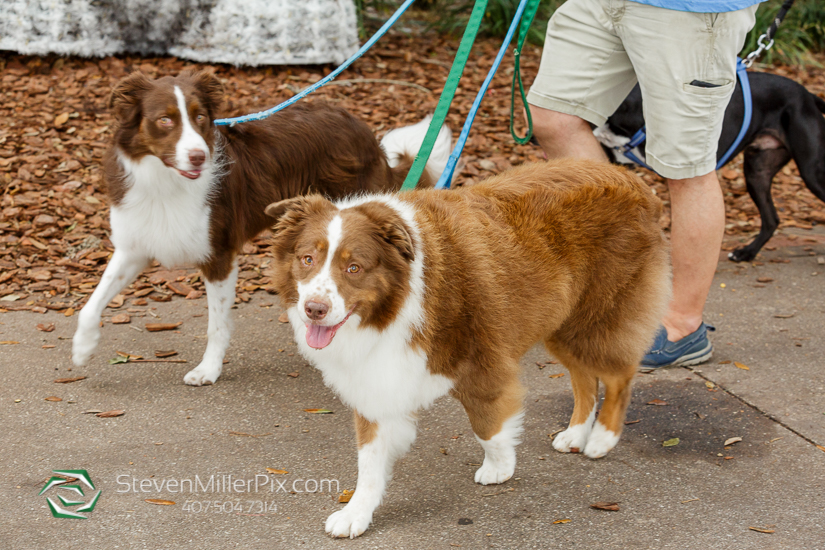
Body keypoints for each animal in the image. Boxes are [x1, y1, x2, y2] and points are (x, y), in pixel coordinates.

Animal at [72, 71, 450, 386]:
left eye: (199, 118)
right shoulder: (134, 246)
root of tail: (366, 133)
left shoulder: (219, 255)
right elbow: (91, 303)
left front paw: (208, 370)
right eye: (165, 120)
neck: (166, 182)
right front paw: (82, 347)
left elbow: (216, 324)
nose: (198, 157)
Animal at [264, 158, 668, 540]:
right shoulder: (379, 376)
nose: (314, 309)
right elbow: (369, 460)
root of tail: (634, 180)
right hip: (562, 322)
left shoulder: (484, 363)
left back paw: (601, 438)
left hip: (594, 319)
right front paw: (356, 513)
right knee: (584, 377)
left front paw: (499, 467)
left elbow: (487, 426)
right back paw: (576, 432)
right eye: (307, 259)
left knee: (619, 376)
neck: (402, 297)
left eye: (354, 267)